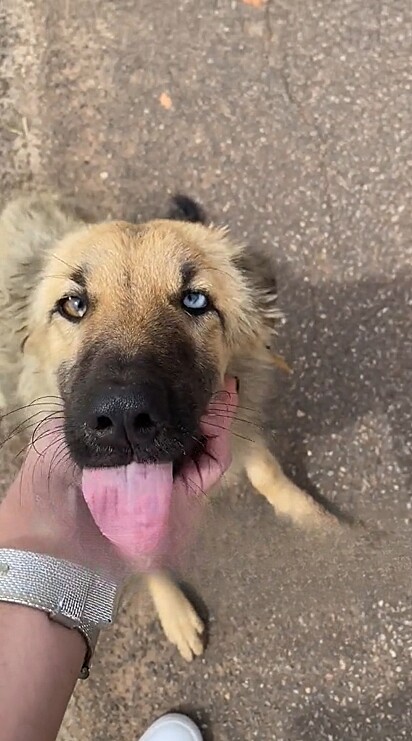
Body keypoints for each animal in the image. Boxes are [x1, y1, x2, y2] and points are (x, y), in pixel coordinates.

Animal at [0, 191, 332, 660]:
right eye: (73, 305)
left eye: (195, 300)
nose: (122, 417)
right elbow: (143, 552)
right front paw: (176, 613)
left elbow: (269, 474)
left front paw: (317, 521)